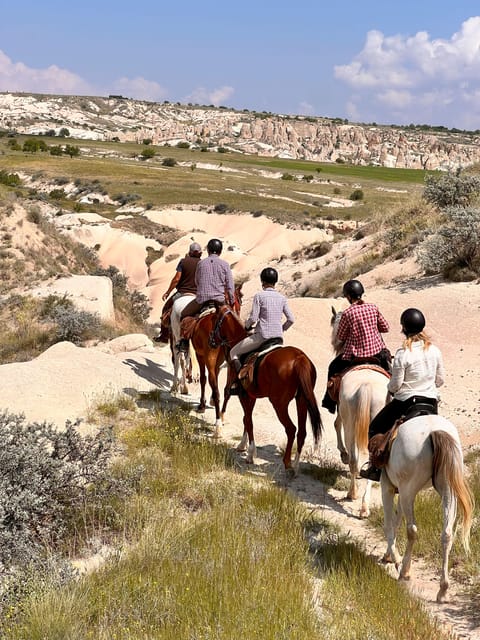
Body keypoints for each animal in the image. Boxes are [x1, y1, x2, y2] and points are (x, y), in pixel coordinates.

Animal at [210, 302, 322, 472]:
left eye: (215, 320)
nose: (211, 341)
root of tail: (299, 358)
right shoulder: (251, 396)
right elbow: (246, 419)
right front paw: (243, 445)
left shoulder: (244, 395)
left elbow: (248, 420)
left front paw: (250, 453)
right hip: (302, 400)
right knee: (302, 432)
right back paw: (296, 465)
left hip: (279, 404)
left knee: (291, 429)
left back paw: (287, 462)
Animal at [330, 308, 390, 516]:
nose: (334, 342)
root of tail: (366, 386)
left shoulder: (340, 410)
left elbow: (336, 424)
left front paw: (342, 453)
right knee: (369, 461)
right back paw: (363, 505)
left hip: (351, 424)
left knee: (355, 459)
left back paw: (353, 495)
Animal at [382, 416, 472, 604]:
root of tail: (434, 431)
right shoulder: (399, 491)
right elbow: (396, 520)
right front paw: (390, 555)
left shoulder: (387, 485)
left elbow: (390, 524)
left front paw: (395, 559)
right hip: (447, 492)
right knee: (447, 534)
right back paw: (443, 589)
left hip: (408, 490)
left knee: (412, 530)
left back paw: (404, 572)